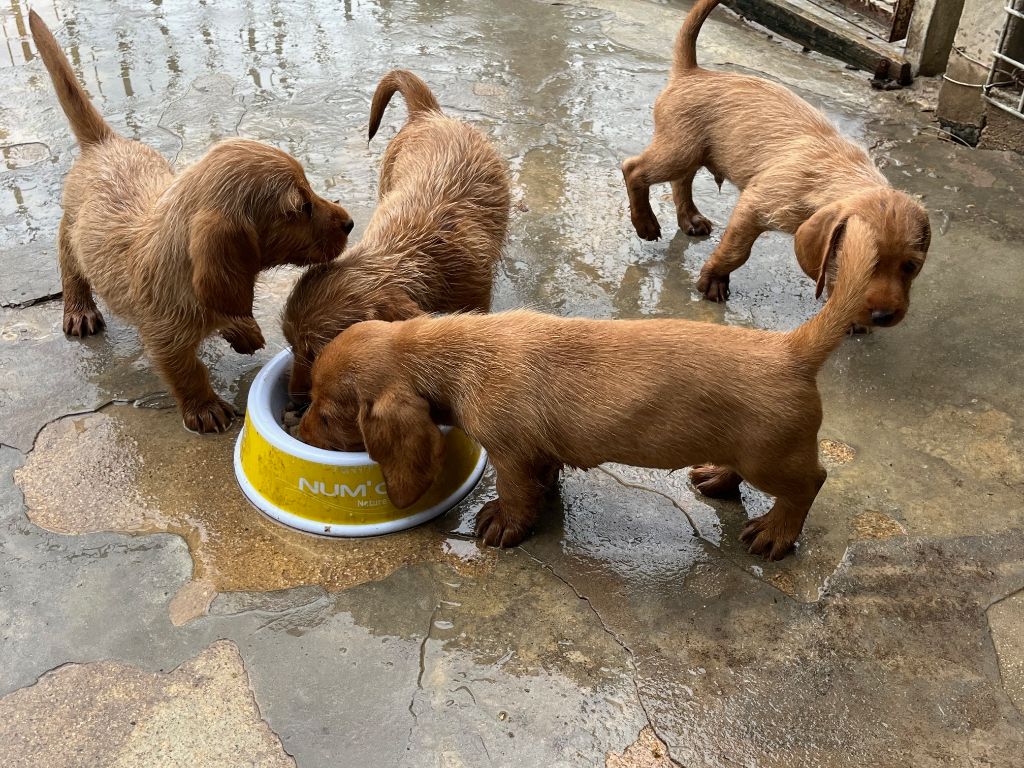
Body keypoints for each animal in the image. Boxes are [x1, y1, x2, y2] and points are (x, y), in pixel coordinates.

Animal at [29, 10, 356, 434]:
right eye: (301, 207)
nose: (350, 222)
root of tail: (104, 143)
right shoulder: (164, 339)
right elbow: (187, 371)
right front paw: (204, 407)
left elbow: (232, 306)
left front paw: (242, 328)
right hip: (70, 234)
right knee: (71, 270)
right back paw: (79, 309)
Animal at [282, 70, 509, 403]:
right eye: (291, 344)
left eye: (316, 352)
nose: (294, 399)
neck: (415, 252)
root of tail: (429, 114)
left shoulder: (476, 297)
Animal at [299, 217, 880, 561]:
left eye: (327, 414)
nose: (299, 429)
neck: (456, 355)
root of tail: (792, 348)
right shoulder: (535, 451)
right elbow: (543, 479)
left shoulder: (510, 453)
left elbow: (515, 492)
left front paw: (503, 523)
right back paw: (717, 477)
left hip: (773, 456)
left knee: (809, 484)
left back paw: (776, 532)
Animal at [618, 0, 933, 327]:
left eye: (911, 266)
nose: (883, 317)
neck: (838, 175)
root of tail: (692, 72)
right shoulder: (754, 205)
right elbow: (736, 251)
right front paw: (714, 280)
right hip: (678, 151)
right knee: (634, 169)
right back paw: (645, 223)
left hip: (690, 152)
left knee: (682, 180)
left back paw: (690, 219)